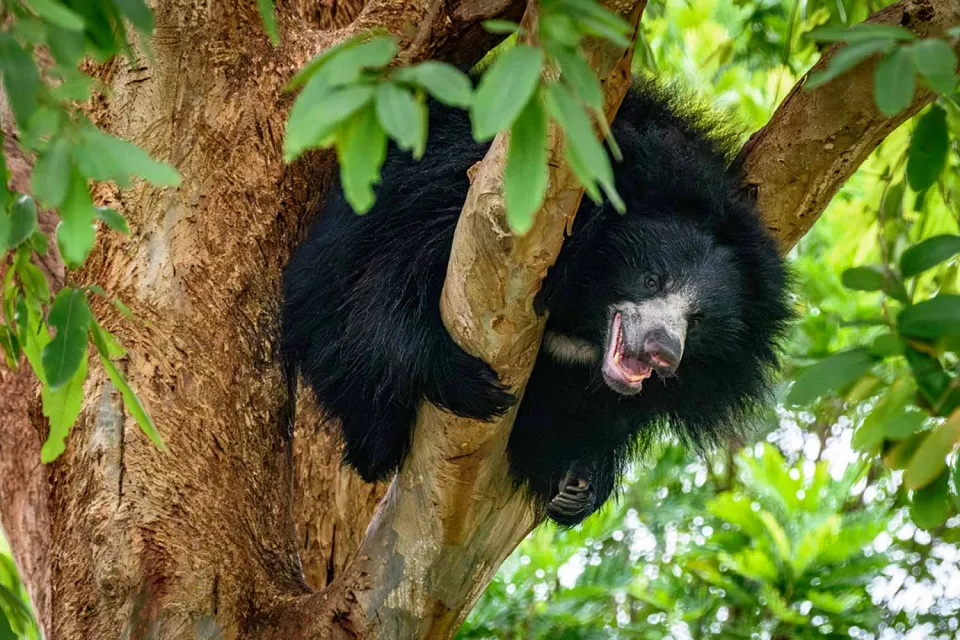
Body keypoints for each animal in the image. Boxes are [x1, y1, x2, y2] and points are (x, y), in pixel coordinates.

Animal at [281, 78, 791, 526]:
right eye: (651, 278)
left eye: (698, 319)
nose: (662, 351)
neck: (582, 309)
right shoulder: (462, 200)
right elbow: (389, 287)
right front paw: (467, 382)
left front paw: (580, 484)